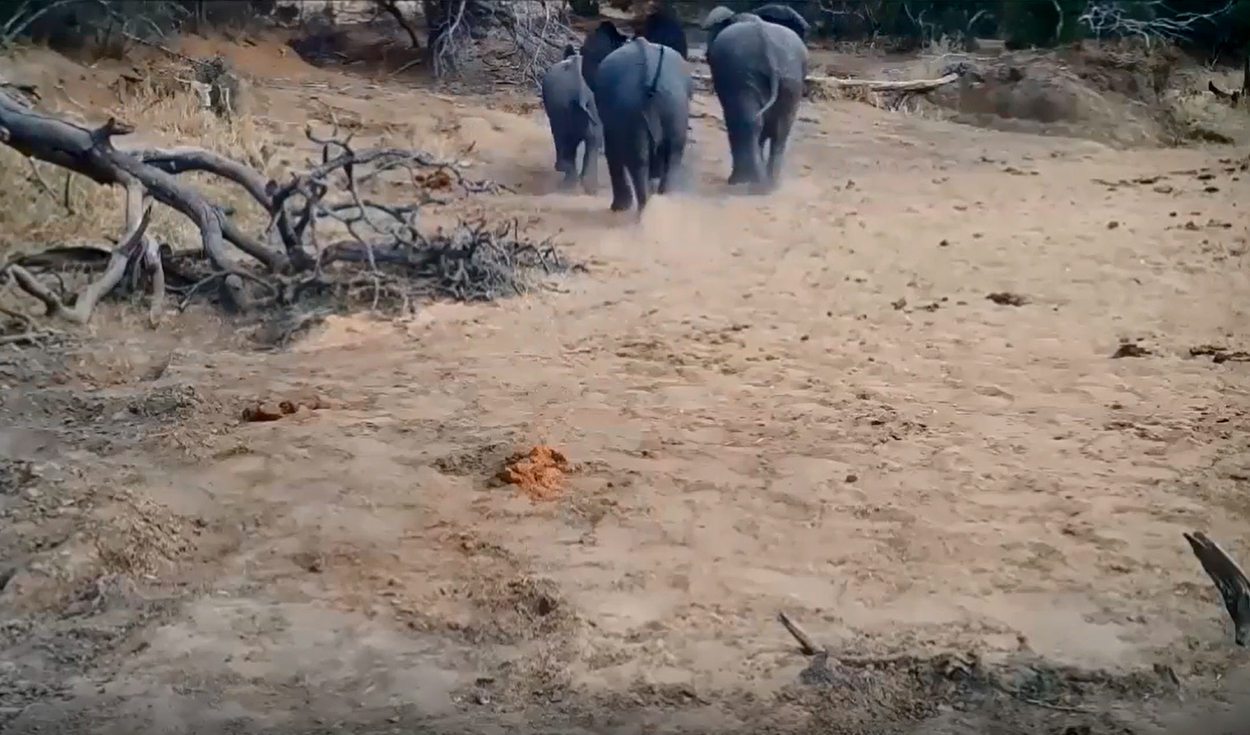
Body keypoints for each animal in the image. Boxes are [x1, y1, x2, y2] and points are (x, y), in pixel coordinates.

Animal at [592, 36, 693, 214]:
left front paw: (619, 208)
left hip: (634, 108)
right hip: (672, 106)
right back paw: (661, 205)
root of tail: (649, 77)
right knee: (669, 154)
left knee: (641, 159)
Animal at [705, 12, 808, 193]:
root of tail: (769, 48)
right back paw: (771, 184)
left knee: (749, 122)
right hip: (790, 78)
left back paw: (749, 182)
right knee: (781, 128)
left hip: (744, 75)